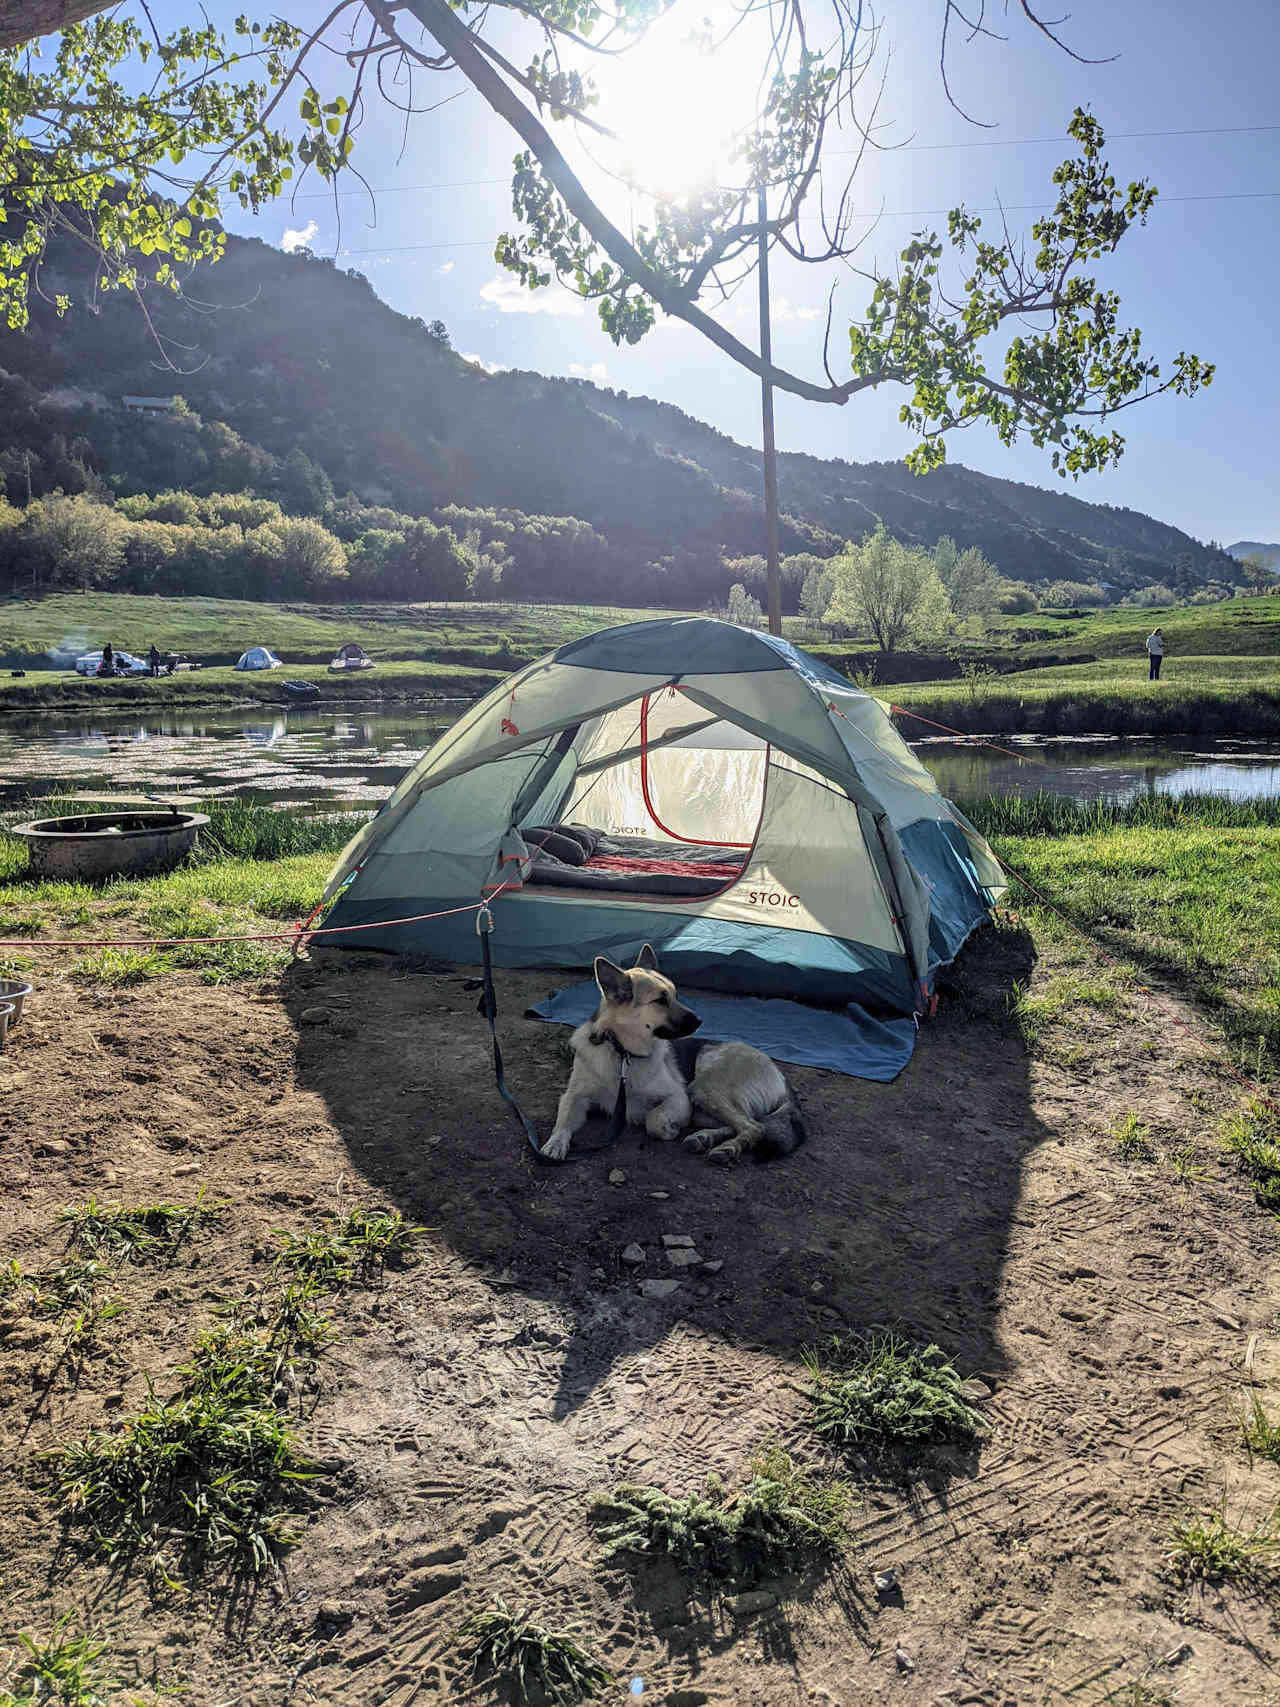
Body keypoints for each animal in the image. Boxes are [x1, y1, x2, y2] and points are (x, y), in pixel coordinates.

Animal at [542, 942, 812, 1167]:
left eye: (676, 995)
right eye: (660, 1000)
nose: (701, 1020)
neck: (624, 1054)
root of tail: (779, 1074)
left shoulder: (679, 1098)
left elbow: (653, 1119)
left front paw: (666, 1128)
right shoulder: (573, 1097)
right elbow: (562, 1121)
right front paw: (554, 1144)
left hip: (702, 1088)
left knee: (754, 1127)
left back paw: (727, 1149)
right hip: (704, 1105)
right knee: (744, 1123)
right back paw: (705, 1138)